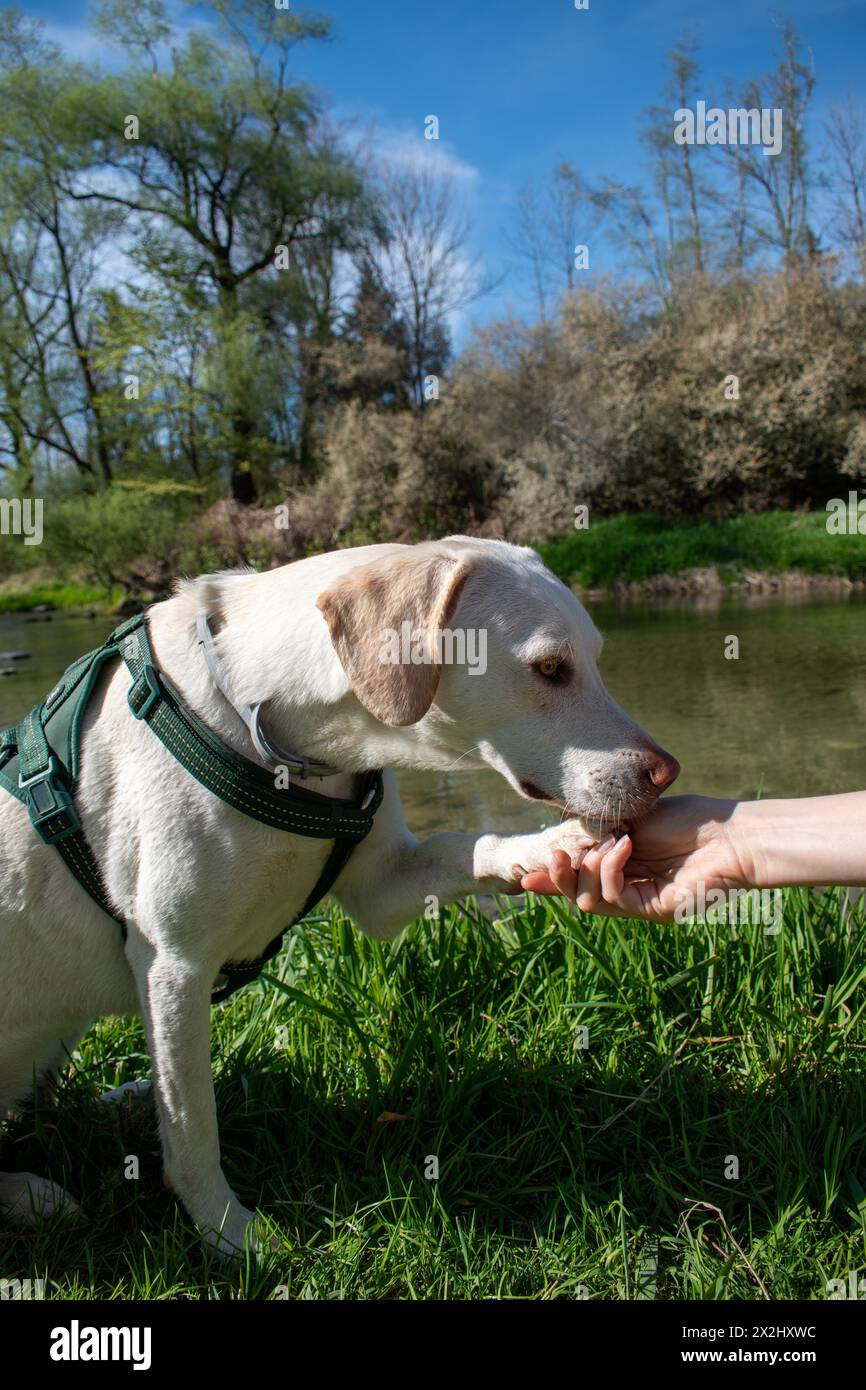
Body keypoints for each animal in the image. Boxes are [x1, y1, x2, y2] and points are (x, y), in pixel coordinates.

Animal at [0, 536, 678, 1256]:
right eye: (550, 668)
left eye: (595, 658)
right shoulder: (175, 965)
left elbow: (464, 846)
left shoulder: (383, 885)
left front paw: (550, 848)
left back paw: (119, 1104)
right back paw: (32, 1195)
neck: (278, 731)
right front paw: (232, 1234)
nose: (668, 773)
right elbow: (192, 1126)